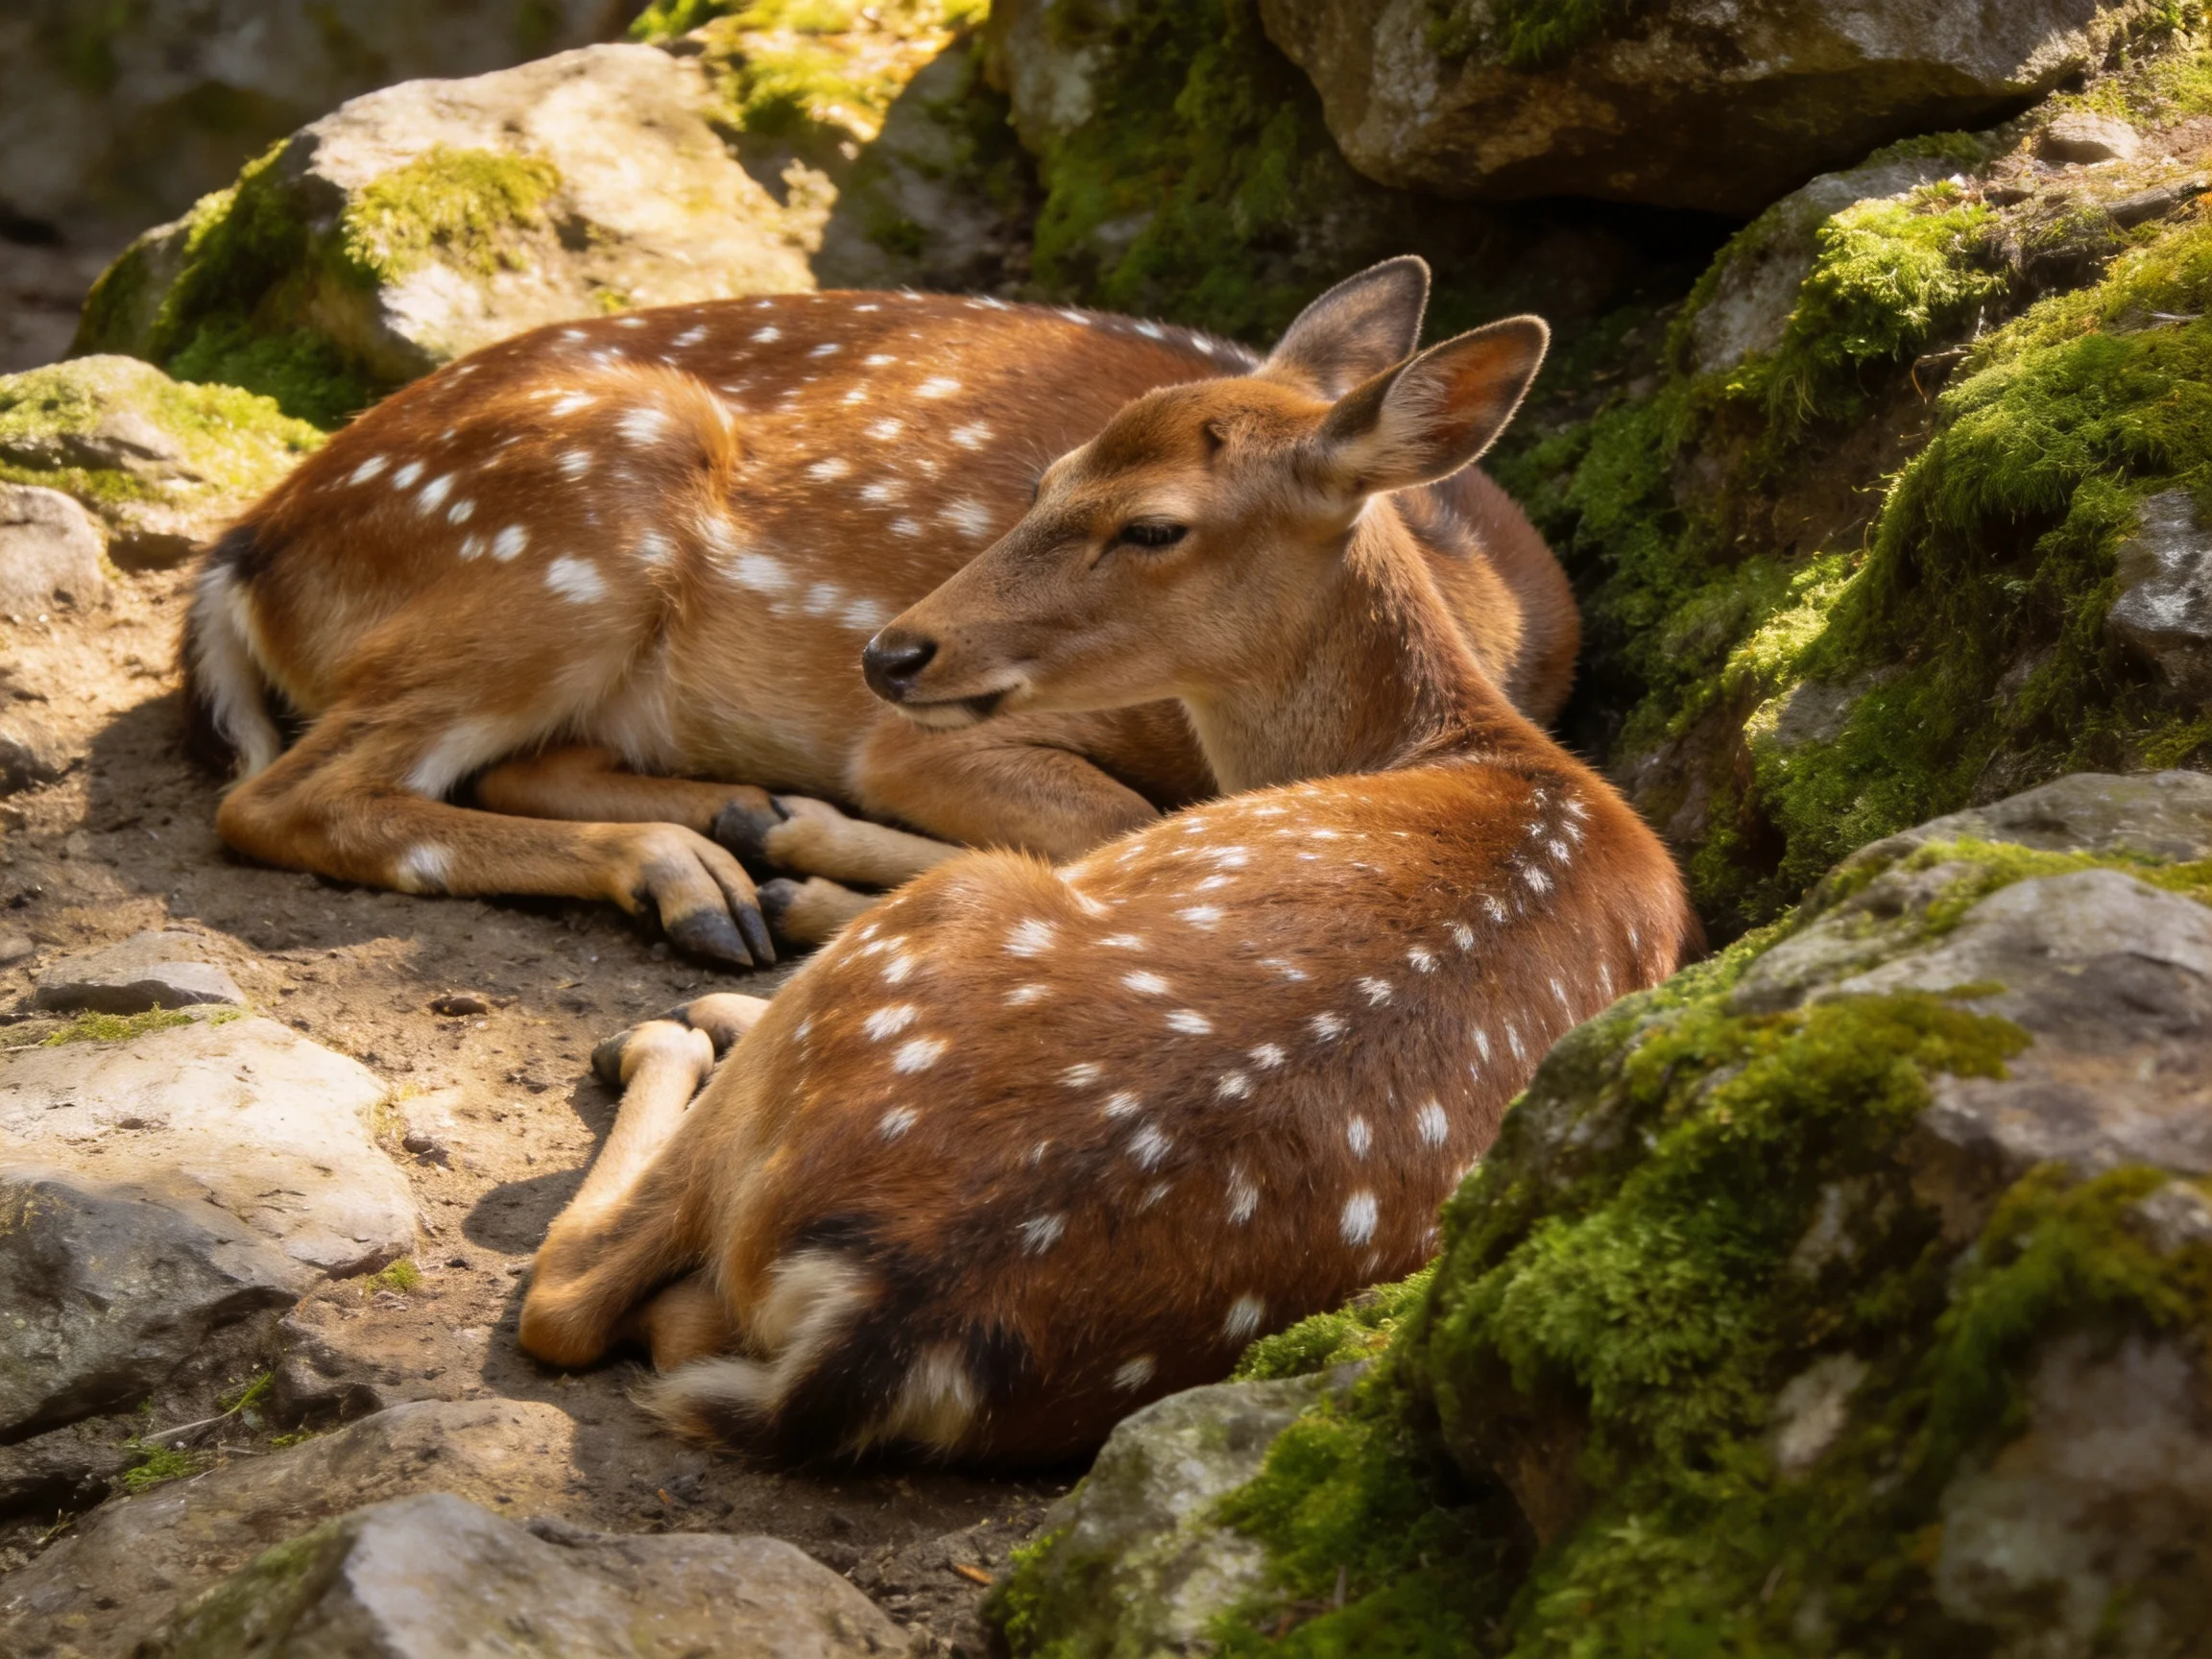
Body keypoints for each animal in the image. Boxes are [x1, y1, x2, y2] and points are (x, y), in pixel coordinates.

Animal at [514, 278, 1700, 1465]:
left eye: (1154, 527)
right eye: (1047, 478)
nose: (892, 653)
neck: (1467, 746)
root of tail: (881, 1310)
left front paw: (789, 863)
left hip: (941, 918)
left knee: (566, 1298)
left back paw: (690, 1004)